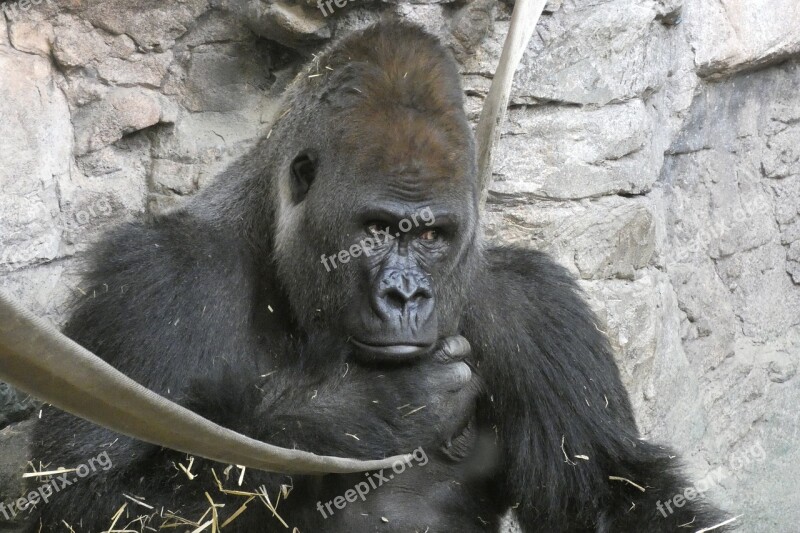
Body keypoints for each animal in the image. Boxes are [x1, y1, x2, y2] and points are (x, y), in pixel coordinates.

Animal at [25, 20, 728, 532]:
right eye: (378, 229)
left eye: (432, 235)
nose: (406, 294)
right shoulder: (152, 279)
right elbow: (93, 495)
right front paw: (371, 410)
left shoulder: (538, 307)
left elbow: (609, 492)